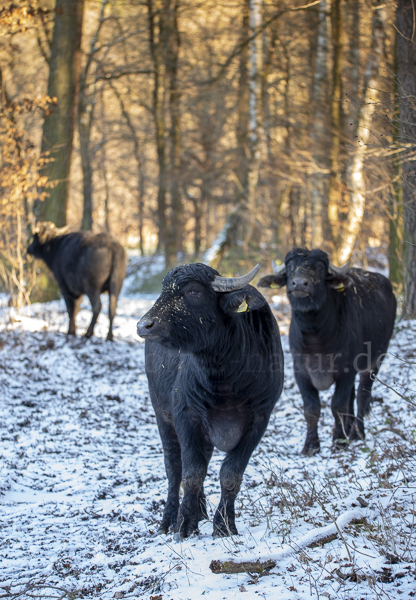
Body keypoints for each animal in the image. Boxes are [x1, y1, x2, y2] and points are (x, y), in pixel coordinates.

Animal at [136, 262, 282, 540]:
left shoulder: (259, 419)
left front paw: (224, 525)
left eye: (193, 291)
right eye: (164, 289)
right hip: (162, 416)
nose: (144, 325)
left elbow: (230, 475)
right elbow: (191, 474)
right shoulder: (186, 415)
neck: (226, 380)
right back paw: (170, 519)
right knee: (174, 467)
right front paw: (183, 525)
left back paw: (200, 512)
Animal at [256, 247, 396, 454]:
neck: (316, 337)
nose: (300, 283)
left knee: (362, 395)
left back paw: (356, 433)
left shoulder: (346, 369)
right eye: (290, 267)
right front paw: (311, 445)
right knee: (352, 396)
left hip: (376, 359)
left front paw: (338, 440)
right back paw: (348, 429)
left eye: (320, 268)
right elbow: (311, 408)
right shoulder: (300, 371)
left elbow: (338, 405)